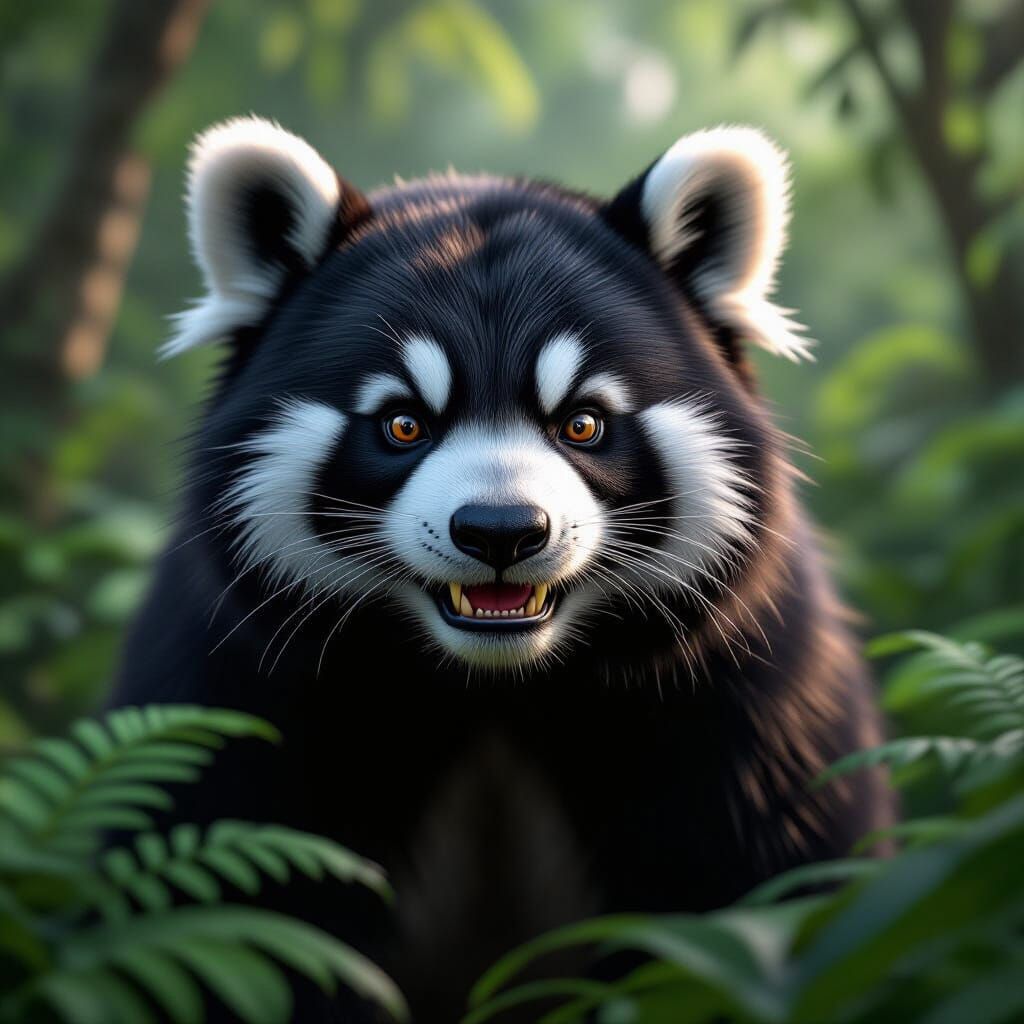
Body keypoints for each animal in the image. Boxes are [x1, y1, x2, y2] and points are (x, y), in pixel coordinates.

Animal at [112, 117, 894, 1022]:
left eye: (583, 424)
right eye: (403, 424)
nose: (501, 531)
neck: (492, 687)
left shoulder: (752, 712)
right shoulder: (234, 696)